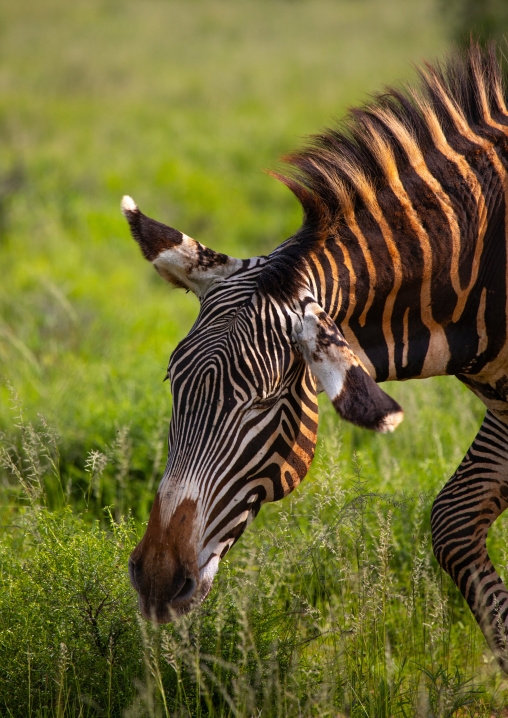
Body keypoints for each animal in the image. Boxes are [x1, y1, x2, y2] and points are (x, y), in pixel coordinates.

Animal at [122, 43, 508, 672]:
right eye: (171, 385)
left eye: (261, 402)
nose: (155, 582)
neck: (479, 270)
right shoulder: (504, 402)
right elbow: (452, 520)